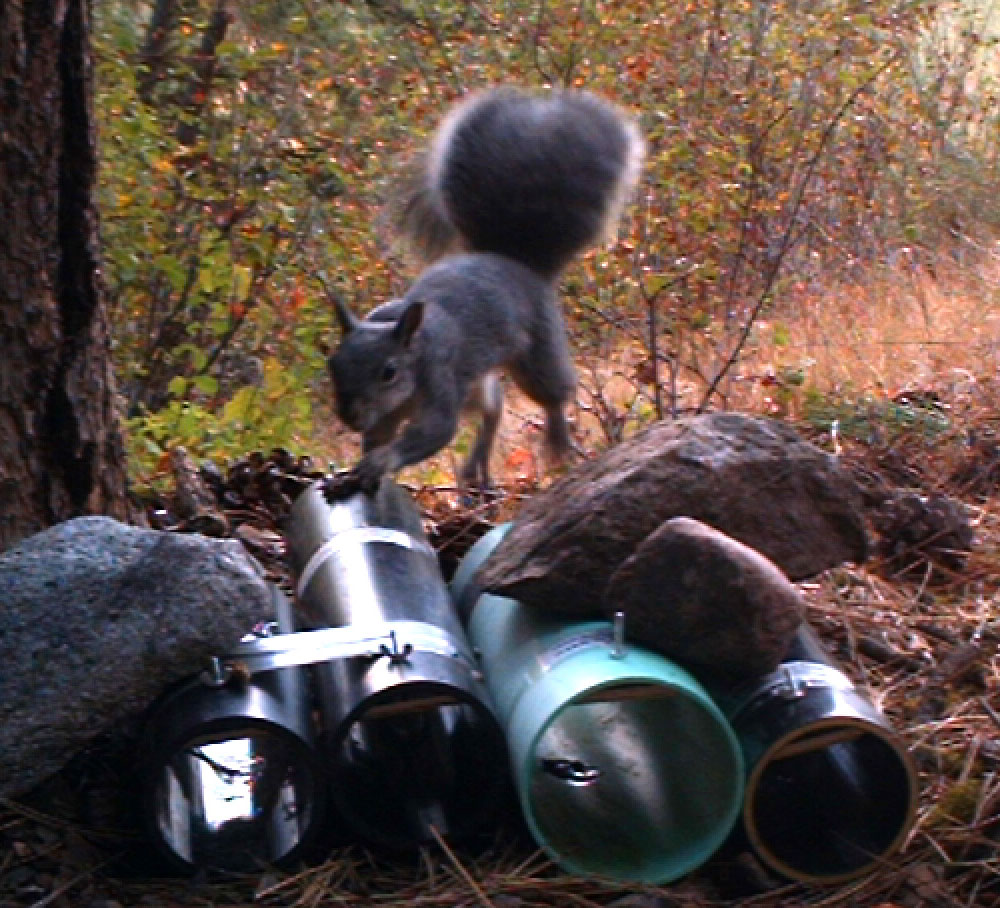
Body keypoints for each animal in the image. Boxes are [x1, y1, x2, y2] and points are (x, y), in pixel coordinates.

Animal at [327, 86, 644, 493]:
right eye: (333, 364)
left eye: (389, 372)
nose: (349, 415)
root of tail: (518, 264)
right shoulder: (385, 416)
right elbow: (378, 437)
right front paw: (359, 468)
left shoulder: (442, 380)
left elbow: (435, 432)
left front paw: (382, 461)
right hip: (475, 384)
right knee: (493, 408)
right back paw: (474, 469)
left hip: (536, 352)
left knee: (552, 393)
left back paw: (556, 440)